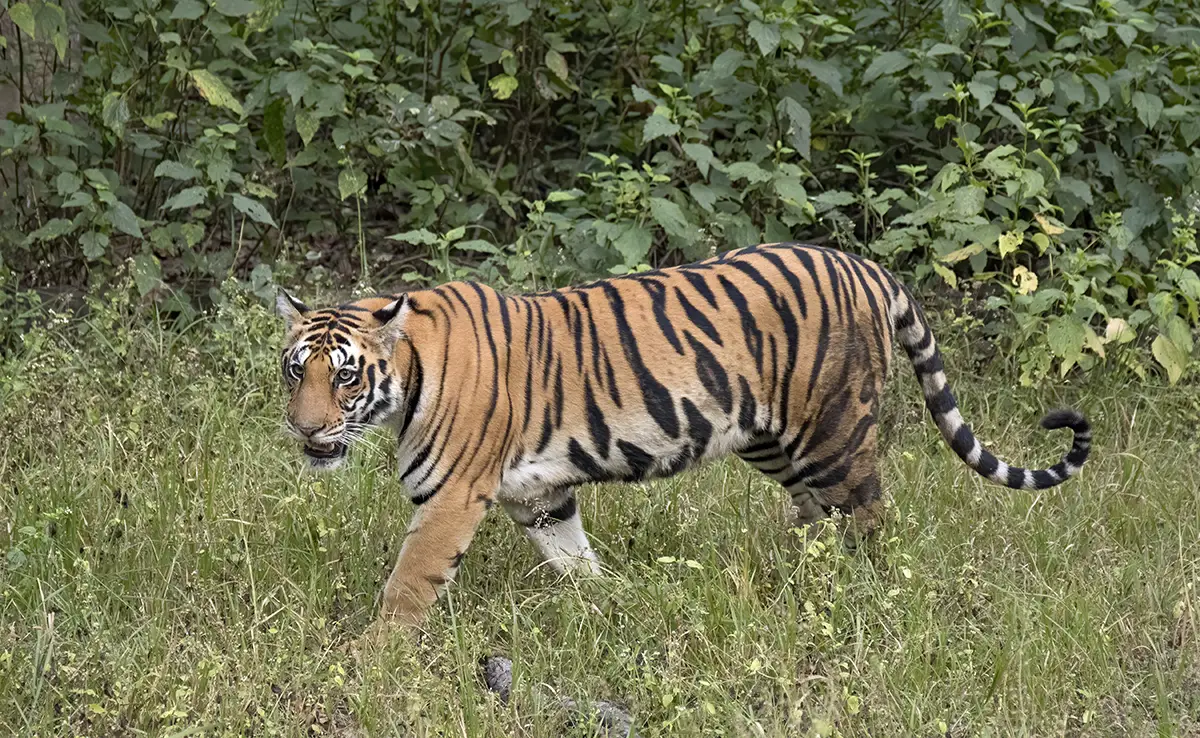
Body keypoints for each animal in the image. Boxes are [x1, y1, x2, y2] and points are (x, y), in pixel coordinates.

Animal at [276, 246, 1094, 628]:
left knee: (870, 517)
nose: (305, 428)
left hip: (834, 433)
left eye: (345, 377)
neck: (407, 379)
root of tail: (865, 266)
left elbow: (408, 586)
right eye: (294, 371)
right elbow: (574, 558)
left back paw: (862, 595)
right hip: (773, 439)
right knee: (816, 516)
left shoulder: (450, 499)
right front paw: (607, 606)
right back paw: (796, 579)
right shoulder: (539, 495)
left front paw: (376, 659)